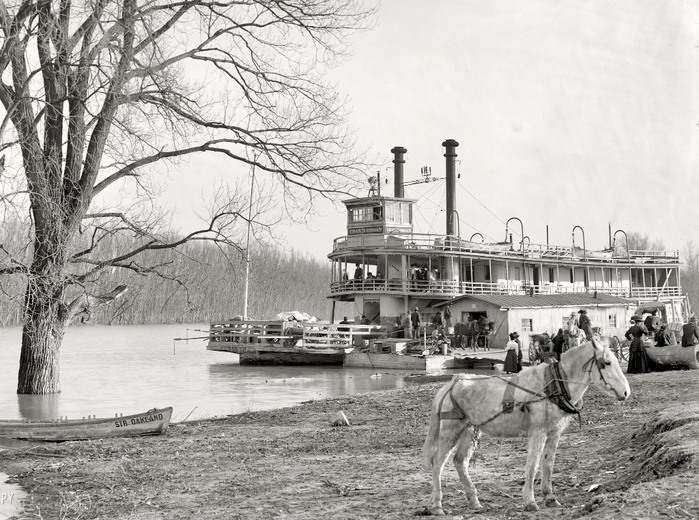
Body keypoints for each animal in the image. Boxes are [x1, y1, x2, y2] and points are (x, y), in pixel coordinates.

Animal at [424, 340, 632, 512]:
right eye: (606, 363)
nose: (626, 392)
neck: (553, 384)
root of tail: (451, 384)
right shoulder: (538, 431)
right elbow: (532, 464)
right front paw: (530, 501)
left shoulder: (554, 432)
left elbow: (548, 463)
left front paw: (550, 497)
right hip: (450, 430)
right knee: (438, 463)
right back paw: (436, 505)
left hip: (470, 430)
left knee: (460, 461)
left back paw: (474, 501)